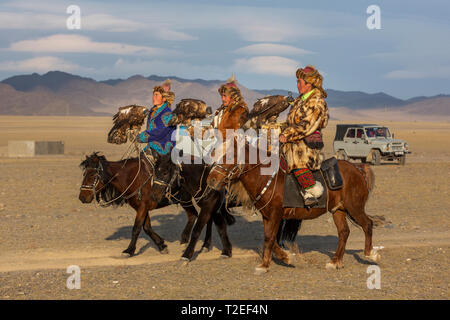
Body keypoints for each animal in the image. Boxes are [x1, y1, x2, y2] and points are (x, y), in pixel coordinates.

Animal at [207, 142, 380, 276]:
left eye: (229, 156)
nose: (211, 180)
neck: (266, 178)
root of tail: (358, 168)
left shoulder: (275, 215)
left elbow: (269, 238)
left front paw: (265, 266)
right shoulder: (267, 216)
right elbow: (270, 239)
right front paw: (286, 258)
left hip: (355, 207)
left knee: (367, 225)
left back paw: (371, 255)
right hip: (338, 210)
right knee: (344, 232)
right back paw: (335, 262)